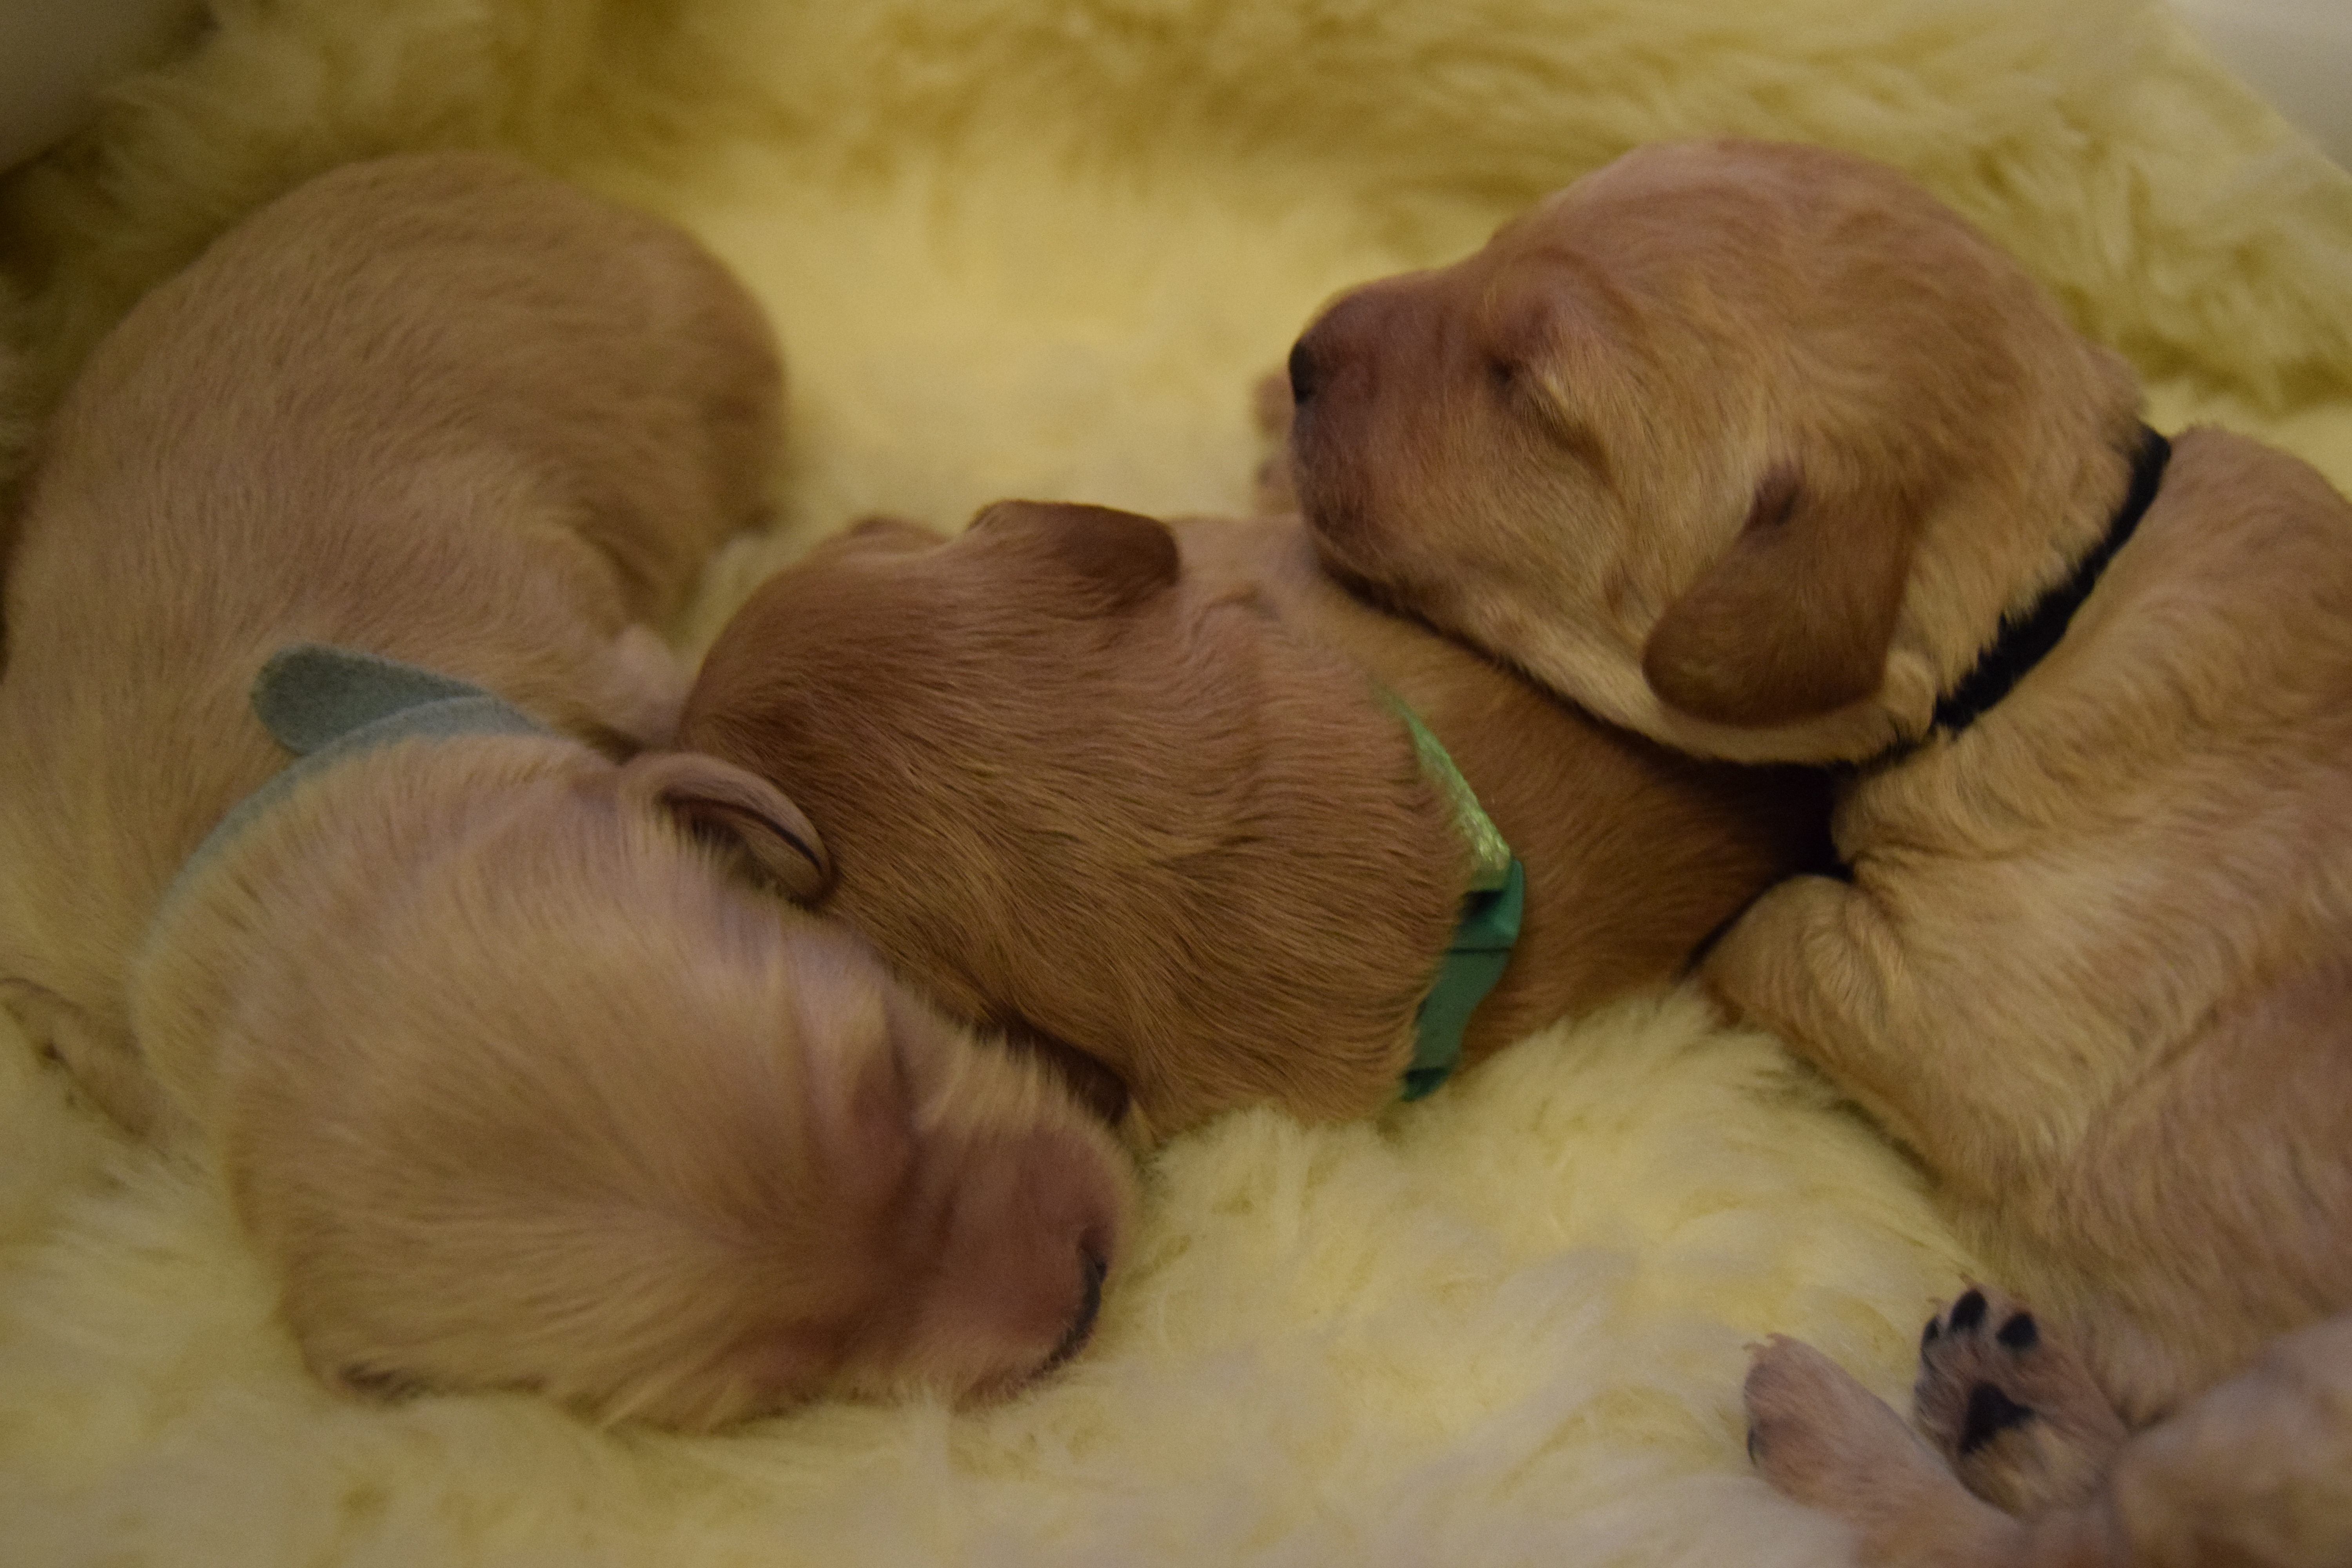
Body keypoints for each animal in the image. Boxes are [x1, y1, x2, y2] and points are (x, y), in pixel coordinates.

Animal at [0, 152, 1129, 1429]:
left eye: (888, 1074)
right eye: (772, 1391)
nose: (1086, 1292)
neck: (270, 822)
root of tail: (536, 180)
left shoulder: (594, 655)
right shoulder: (57, 973)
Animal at [1289, 138, 2352, 1568]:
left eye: (1529, 390)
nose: (1298, 353)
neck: (2053, 605)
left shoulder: (1966, 1006)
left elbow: (1778, 926)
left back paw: (1853, 1424)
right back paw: (2013, 1395)